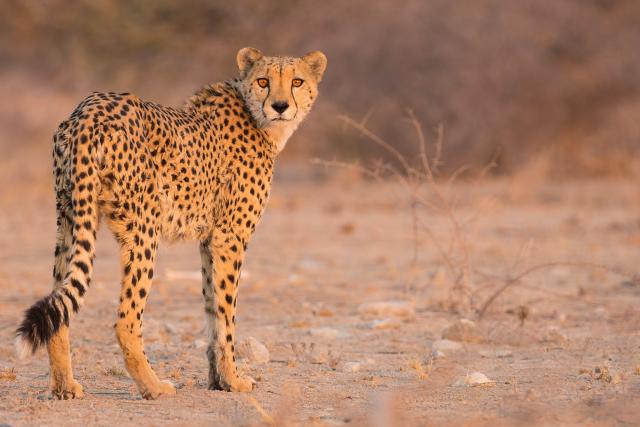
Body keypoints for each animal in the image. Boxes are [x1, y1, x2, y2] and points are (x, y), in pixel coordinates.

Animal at [15, 47, 327, 400]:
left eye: (297, 81)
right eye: (263, 81)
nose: (280, 106)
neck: (257, 118)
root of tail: (89, 109)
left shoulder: (210, 241)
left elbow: (212, 308)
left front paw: (217, 380)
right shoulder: (230, 237)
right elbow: (227, 316)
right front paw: (234, 380)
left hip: (70, 217)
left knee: (60, 303)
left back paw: (64, 386)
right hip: (143, 230)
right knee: (126, 320)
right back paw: (154, 386)